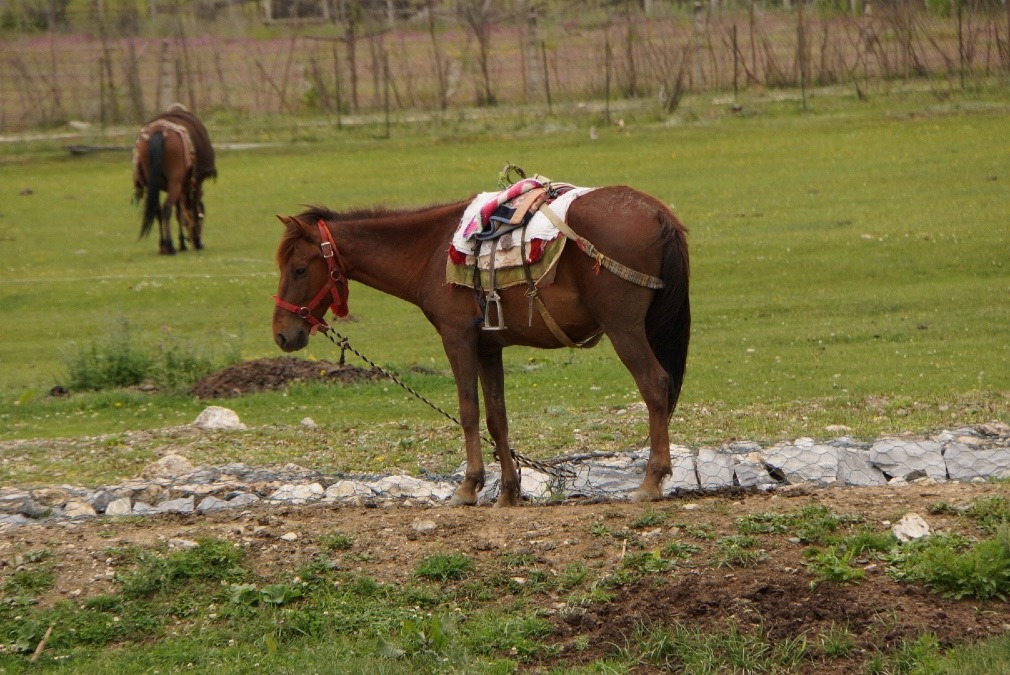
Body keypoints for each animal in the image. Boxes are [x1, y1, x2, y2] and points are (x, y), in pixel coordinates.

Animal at [131, 104, 216, 254]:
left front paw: (182, 242)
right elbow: (190, 210)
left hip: (157, 186)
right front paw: (195, 240)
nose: (199, 242)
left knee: (158, 210)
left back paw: (163, 245)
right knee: (166, 208)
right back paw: (170, 245)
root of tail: (158, 131)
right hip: (175, 183)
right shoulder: (196, 182)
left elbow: (179, 212)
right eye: (202, 218)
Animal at [272, 185, 690, 505]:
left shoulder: (457, 338)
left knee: (655, 384)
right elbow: (496, 417)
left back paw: (651, 481)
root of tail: (656, 213)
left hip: (624, 329)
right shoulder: (490, 348)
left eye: (299, 269)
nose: (281, 334)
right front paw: (508, 492)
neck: (431, 250)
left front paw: (468, 487)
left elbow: (469, 410)